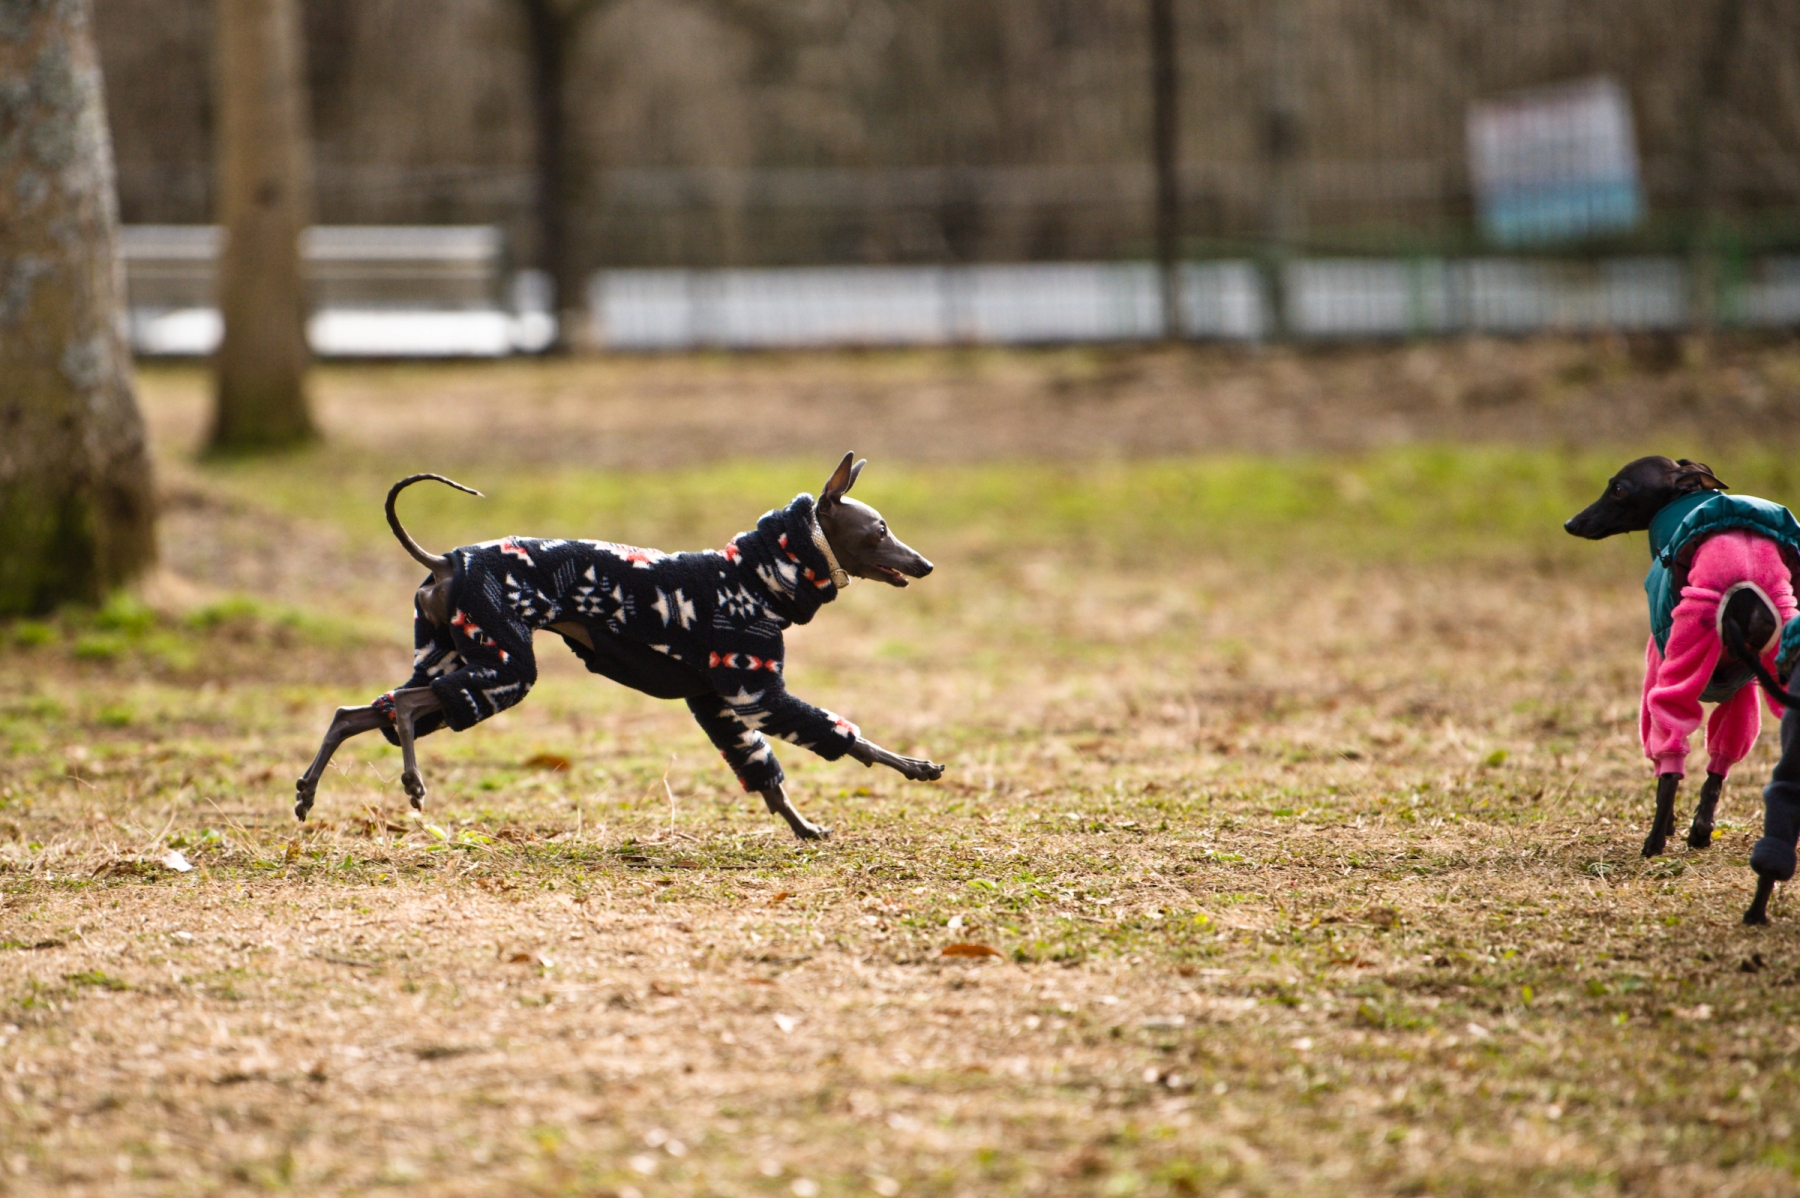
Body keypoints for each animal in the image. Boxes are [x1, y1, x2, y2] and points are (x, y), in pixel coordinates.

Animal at [295, 453, 944, 839]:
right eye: (881, 529)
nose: (925, 564)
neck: (758, 576)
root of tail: (446, 561)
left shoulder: (717, 700)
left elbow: (761, 770)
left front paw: (804, 828)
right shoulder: (754, 690)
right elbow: (846, 737)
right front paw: (914, 765)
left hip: (448, 655)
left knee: (356, 712)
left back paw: (305, 794)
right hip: (504, 665)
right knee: (404, 709)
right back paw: (411, 784)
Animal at [1566, 456, 1800, 859]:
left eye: (1618, 488)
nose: (1571, 523)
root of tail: (1745, 594)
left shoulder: (1656, 666)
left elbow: (1663, 769)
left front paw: (1671, 825)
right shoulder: (1741, 689)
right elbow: (1717, 769)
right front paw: (1698, 828)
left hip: (1678, 665)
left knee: (1671, 763)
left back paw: (1654, 841)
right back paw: (1704, 833)